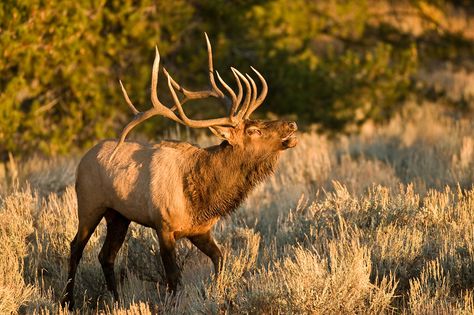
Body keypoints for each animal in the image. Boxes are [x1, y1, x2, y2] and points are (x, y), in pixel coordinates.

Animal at [59, 34, 296, 308]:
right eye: (254, 130)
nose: (292, 124)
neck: (202, 197)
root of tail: (84, 158)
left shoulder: (200, 230)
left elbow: (220, 258)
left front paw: (217, 294)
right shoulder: (164, 225)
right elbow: (173, 278)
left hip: (118, 215)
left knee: (105, 255)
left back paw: (117, 301)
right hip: (90, 204)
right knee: (76, 247)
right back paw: (68, 301)